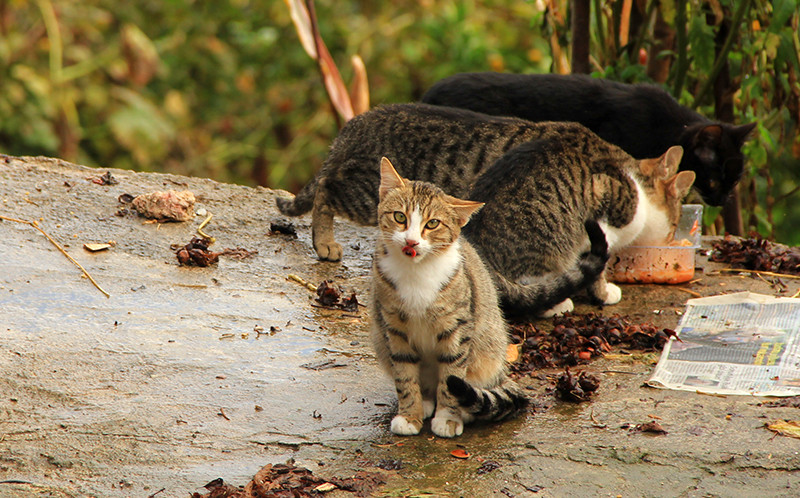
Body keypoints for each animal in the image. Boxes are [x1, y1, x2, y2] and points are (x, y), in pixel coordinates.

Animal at [370, 158, 532, 438]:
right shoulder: (393, 327)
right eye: (400, 217)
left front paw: (447, 418)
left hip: (488, 351)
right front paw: (409, 415)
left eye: (432, 224)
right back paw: (425, 402)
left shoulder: (457, 327)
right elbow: (404, 374)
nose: (411, 241)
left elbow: (451, 376)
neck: (415, 272)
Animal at [466, 133, 696, 316]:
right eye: (675, 225)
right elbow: (598, 271)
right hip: (548, 243)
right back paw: (555, 305)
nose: (671, 241)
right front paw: (604, 293)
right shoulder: (602, 215)